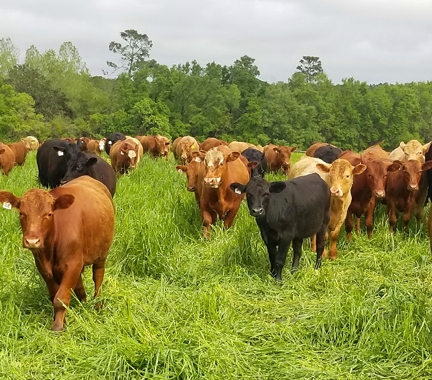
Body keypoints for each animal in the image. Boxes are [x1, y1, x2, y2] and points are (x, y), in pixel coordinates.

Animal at [0, 177, 115, 332]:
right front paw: (62, 320)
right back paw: (83, 302)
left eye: (49, 214)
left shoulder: (73, 265)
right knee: (80, 286)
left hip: (101, 255)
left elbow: (60, 298)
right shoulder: (44, 268)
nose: (32, 241)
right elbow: (55, 294)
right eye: (21, 213)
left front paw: (58, 326)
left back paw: (97, 305)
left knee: (98, 278)